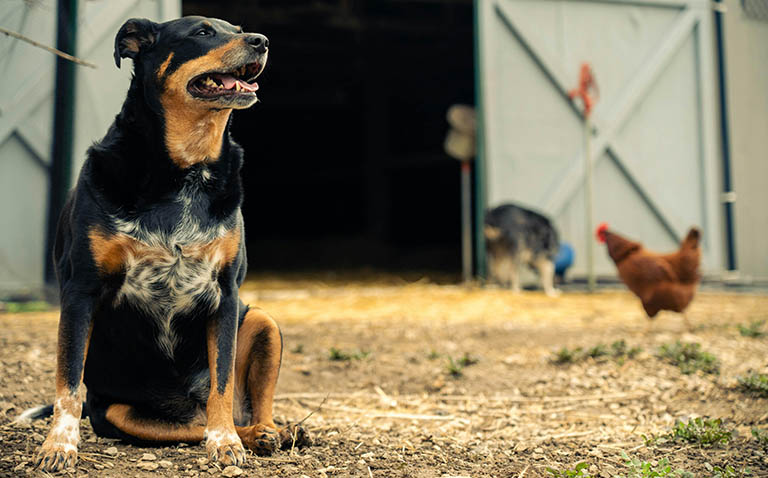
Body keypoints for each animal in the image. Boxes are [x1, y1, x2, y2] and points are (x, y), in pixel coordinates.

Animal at [18, 14, 306, 470]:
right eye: (202, 32)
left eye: (237, 28)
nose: (261, 41)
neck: (184, 169)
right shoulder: (80, 290)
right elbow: (68, 382)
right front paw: (58, 446)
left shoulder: (226, 294)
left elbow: (222, 380)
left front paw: (225, 443)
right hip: (119, 412)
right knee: (186, 425)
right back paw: (255, 435)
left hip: (262, 323)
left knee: (242, 409)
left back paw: (272, 431)